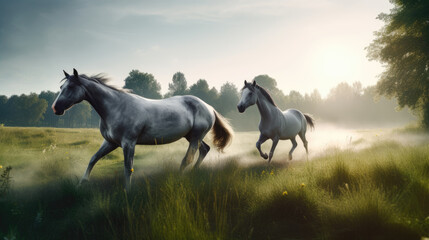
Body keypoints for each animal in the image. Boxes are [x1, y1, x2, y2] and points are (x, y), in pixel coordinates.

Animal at [54, 68, 234, 188]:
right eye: (61, 88)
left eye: (70, 87)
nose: (56, 108)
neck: (116, 107)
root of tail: (209, 107)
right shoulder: (110, 142)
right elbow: (93, 158)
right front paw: (81, 183)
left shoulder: (128, 143)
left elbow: (128, 168)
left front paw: (127, 191)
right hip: (191, 137)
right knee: (204, 149)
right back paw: (193, 173)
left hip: (195, 137)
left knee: (187, 159)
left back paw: (181, 177)